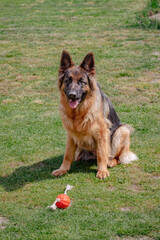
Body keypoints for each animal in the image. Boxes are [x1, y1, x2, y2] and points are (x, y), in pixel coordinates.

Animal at [52, 50, 138, 178]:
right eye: (68, 80)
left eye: (81, 82)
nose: (72, 95)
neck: (80, 112)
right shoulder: (70, 134)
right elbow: (67, 155)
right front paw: (62, 169)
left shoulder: (102, 133)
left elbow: (102, 154)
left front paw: (102, 171)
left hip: (122, 131)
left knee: (117, 157)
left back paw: (111, 161)